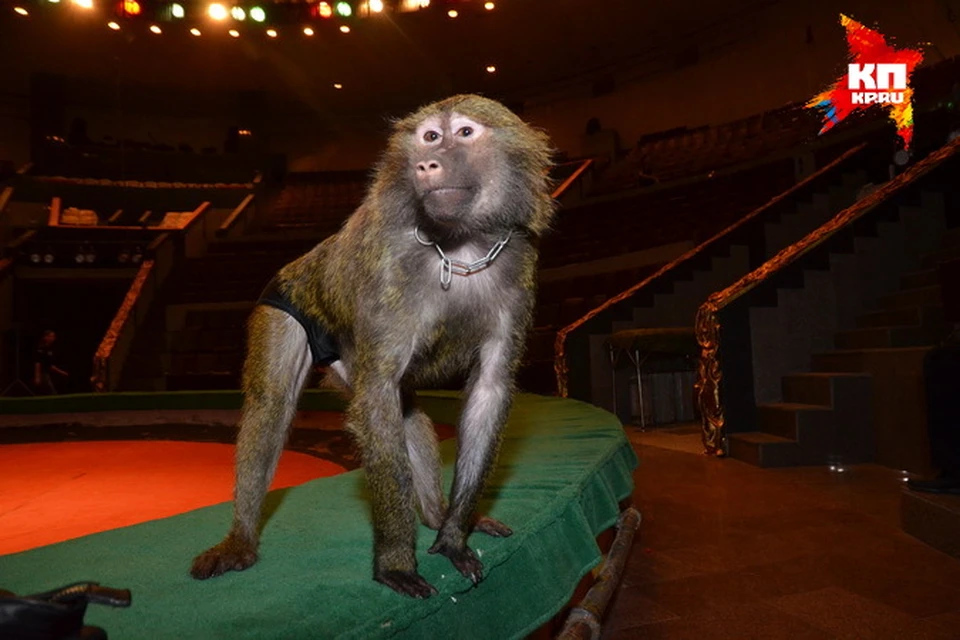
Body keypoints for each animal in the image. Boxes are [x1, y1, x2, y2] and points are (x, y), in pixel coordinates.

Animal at [188, 95, 556, 600]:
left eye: (463, 133)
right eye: (429, 137)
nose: (426, 164)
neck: (459, 248)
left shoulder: (518, 269)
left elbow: (489, 389)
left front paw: (453, 535)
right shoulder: (389, 268)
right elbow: (379, 395)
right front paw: (396, 562)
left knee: (409, 413)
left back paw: (436, 514)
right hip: (284, 309)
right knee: (272, 408)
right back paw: (241, 540)